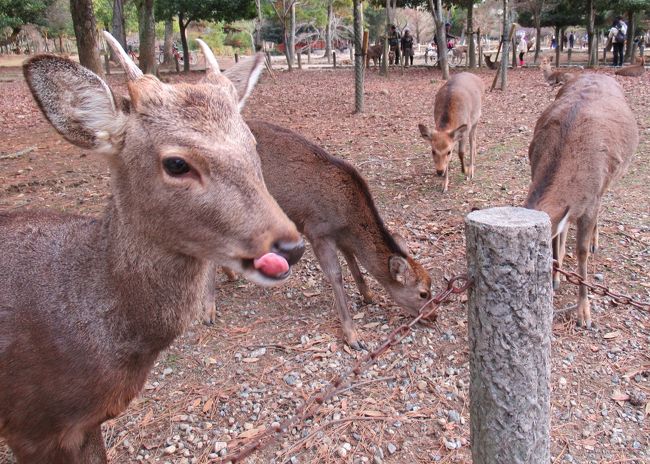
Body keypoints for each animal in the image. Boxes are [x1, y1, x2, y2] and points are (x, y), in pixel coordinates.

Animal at [204, 121, 430, 350]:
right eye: (423, 293)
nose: (433, 316)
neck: (348, 219)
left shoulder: (341, 238)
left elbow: (352, 262)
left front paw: (368, 295)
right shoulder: (318, 231)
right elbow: (335, 275)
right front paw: (353, 336)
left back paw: (230, 275)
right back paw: (209, 310)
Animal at [524, 74, 636, 328]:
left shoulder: (591, 199)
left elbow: (582, 252)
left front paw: (584, 313)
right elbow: (557, 237)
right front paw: (555, 277)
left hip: (608, 181)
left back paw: (595, 241)